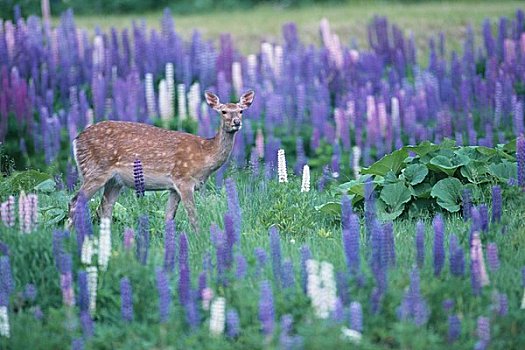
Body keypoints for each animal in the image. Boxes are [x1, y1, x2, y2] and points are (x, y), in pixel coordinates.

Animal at [69, 90, 254, 232]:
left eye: (241, 111)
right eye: (223, 111)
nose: (236, 122)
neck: (205, 154)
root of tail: (76, 140)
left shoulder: (173, 187)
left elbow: (168, 216)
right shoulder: (183, 180)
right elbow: (193, 216)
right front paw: (199, 236)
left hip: (114, 181)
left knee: (105, 209)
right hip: (95, 170)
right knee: (75, 201)